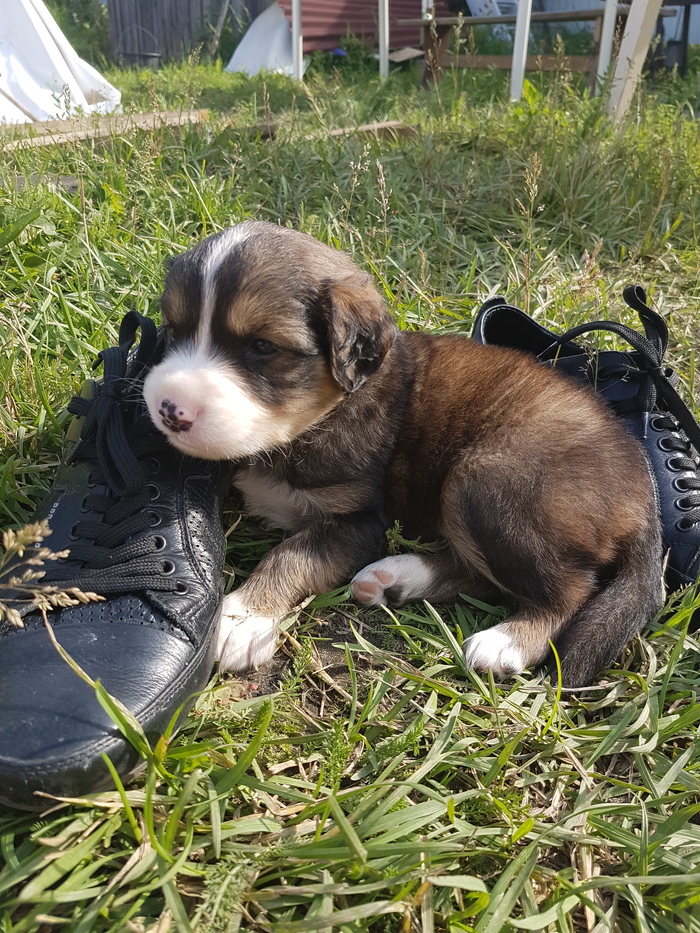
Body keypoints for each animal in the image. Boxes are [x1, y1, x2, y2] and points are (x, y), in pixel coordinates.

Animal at [142, 221, 664, 688]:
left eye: (263, 346)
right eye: (173, 330)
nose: (168, 409)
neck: (318, 420)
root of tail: (645, 496)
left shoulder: (360, 520)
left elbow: (291, 554)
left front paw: (242, 618)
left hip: (488, 480)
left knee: (569, 591)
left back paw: (507, 642)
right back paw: (398, 577)